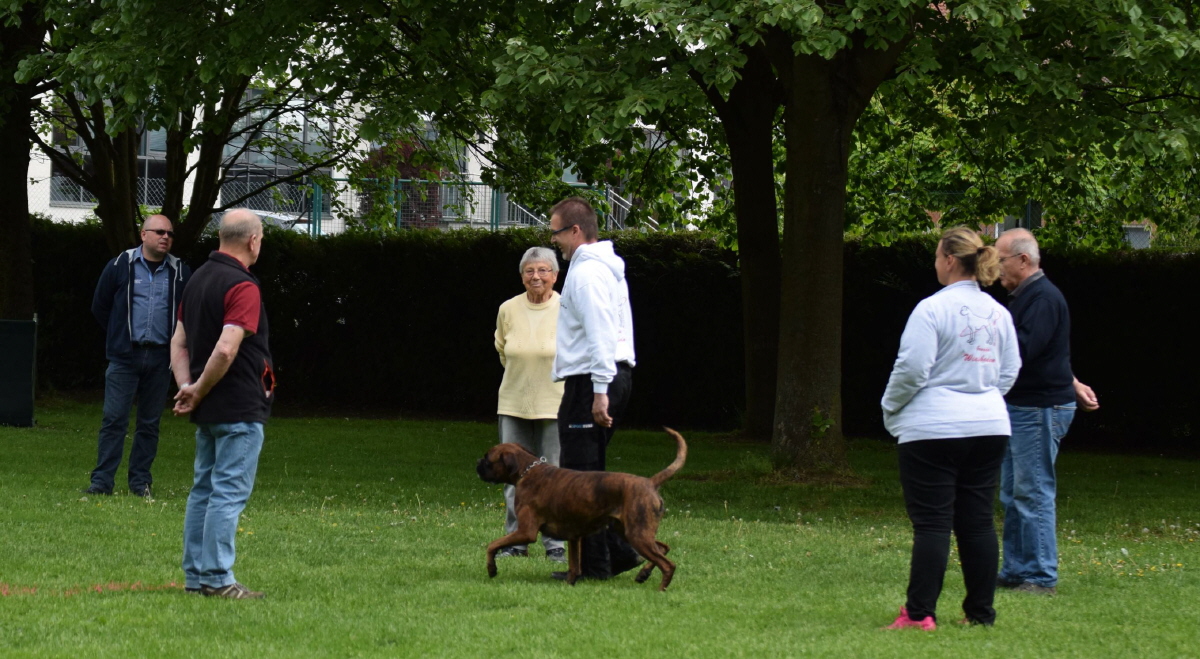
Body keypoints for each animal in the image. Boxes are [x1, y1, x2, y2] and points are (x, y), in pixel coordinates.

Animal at [476, 427, 687, 591]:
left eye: (487, 459)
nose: (477, 464)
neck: (527, 471)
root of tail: (650, 482)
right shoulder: (574, 537)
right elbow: (574, 566)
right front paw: (569, 583)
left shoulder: (526, 532)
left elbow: (492, 545)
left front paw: (492, 569)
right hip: (631, 532)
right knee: (663, 548)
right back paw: (643, 574)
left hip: (637, 535)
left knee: (668, 564)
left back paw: (661, 589)